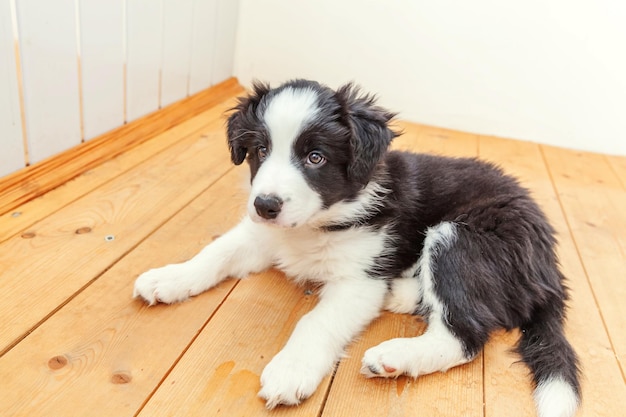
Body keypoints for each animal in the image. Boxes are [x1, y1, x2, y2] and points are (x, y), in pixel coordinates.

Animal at [135, 79, 580, 414]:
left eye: (315, 158)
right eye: (261, 150)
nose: (265, 205)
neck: (313, 225)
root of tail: (549, 266)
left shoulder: (359, 280)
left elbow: (315, 321)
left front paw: (291, 369)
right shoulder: (262, 234)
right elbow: (216, 252)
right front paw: (168, 278)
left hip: (460, 238)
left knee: (466, 334)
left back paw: (397, 355)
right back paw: (404, 292)